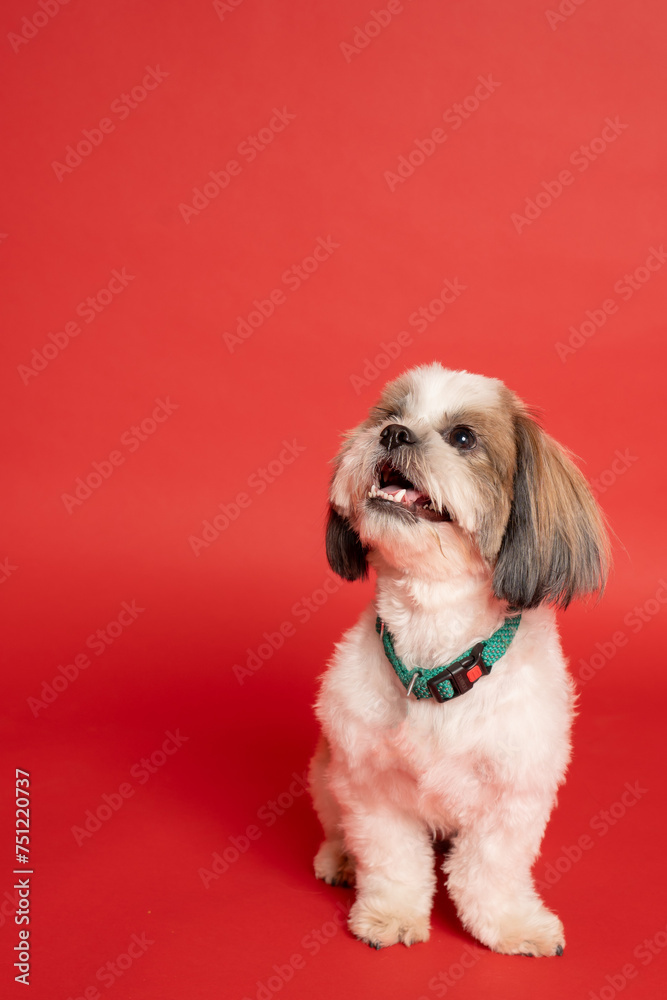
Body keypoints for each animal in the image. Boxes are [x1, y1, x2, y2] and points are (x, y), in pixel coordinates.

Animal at [310, 364, 612, 956]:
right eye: (389, 416)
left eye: (464, 438)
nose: (394, 435)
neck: (437, 658)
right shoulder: (369, 785)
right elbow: (392, 860)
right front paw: (390, 914)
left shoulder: (515, 793)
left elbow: (490, 870)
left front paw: (511, 924)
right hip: (325, 771)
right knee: (337, 826)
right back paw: (340, 860)